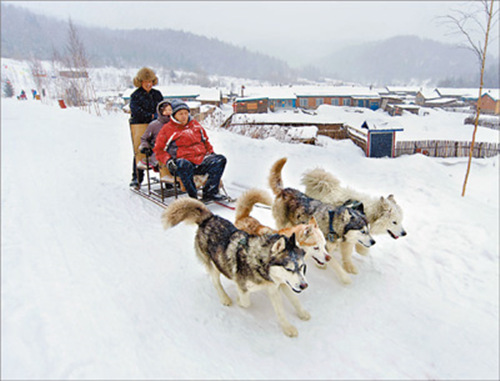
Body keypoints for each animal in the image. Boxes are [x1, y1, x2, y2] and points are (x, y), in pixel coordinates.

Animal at [164, 197, 310, 336]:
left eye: (302, 267)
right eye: (288, 268)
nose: (304, 286)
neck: (259, 263)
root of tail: (209, 218)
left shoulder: (276, 286)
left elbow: (288, 305)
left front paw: (291, 324)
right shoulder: (246, 285)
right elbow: (245, 301)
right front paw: (239, 300)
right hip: (215, 265)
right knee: (216, 282)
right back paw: (225, 298)